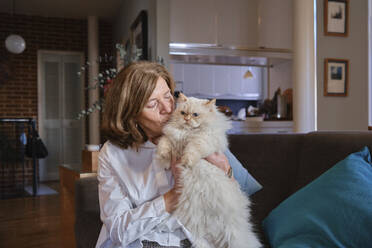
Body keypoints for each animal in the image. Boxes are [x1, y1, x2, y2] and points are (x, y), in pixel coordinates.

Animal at [157, 93, 262, 248]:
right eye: (183, 113)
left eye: (195, 114)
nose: (186, 118)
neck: (186, 132)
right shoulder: (171, 137)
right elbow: (164, 143)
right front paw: (163, 159)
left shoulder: (204, 140)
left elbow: (192, 149)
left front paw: (186, 161)